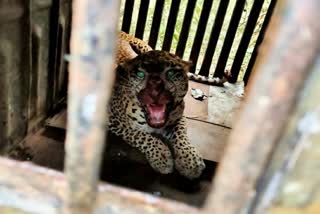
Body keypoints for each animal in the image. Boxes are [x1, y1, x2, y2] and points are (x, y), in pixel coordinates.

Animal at [108, 32, 205, 179]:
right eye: (140, 74)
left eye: (171, 73)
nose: (155, 90)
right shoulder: (112, 119)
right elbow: (140, 135)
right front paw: (161, 156)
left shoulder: (179, 116)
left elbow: (181, 135)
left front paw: (190, 160)